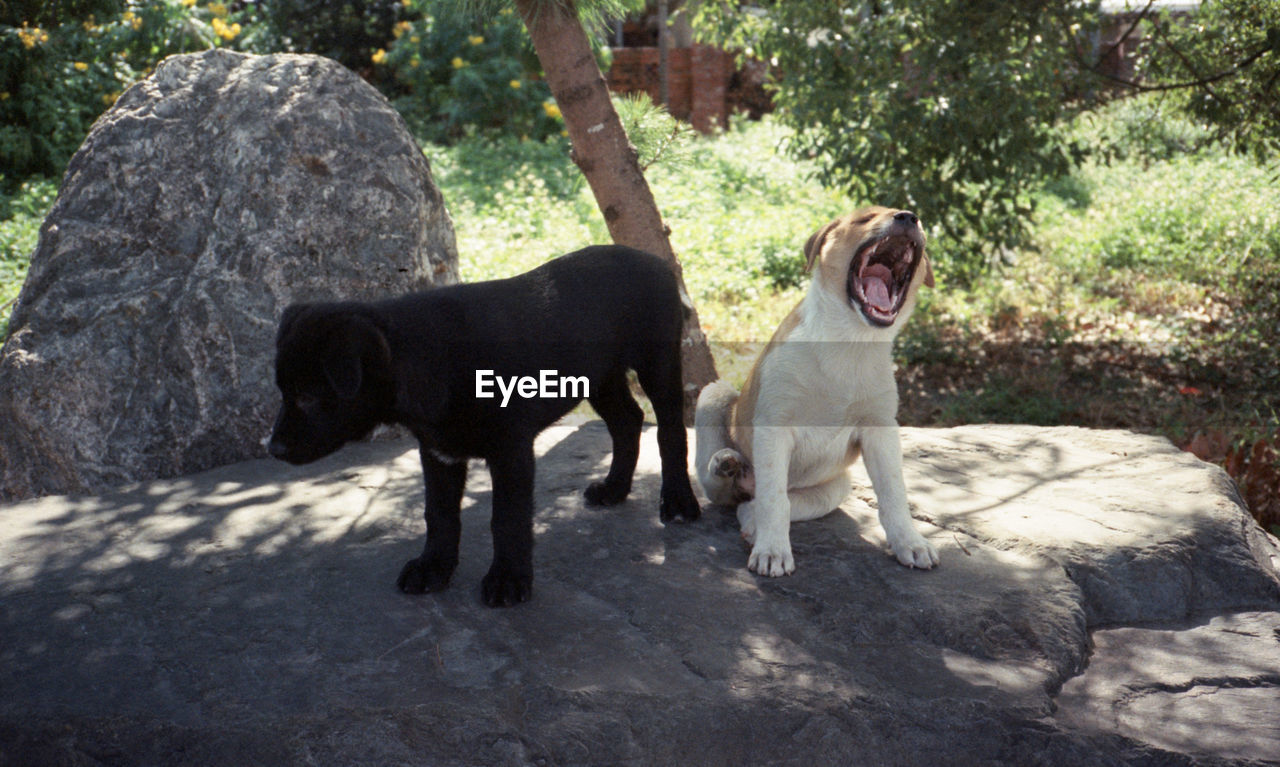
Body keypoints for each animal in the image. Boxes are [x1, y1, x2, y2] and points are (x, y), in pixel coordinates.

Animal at [262, 245, 701, 606]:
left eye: (308, 396)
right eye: (283, 391)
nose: (273, 450)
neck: (425, 359)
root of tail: (657, 262)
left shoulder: (511, 451)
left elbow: (506, 518)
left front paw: (508, 579)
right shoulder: (438, 452)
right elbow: (439, 514)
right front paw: (433, 567)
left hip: (658, 362)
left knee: (670, 431)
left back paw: (678, 500)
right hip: (600, 376)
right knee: (628, 421)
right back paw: (614, 488)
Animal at [701, 203, 942, 576]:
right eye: (864, 219)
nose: (908, 217)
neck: (850, 342)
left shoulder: (880, 430)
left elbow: (894, 495)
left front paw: (910, 543)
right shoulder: (774, 425)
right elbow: (774, 500)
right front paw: (772, 552)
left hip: (838, 485)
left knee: (764, 502)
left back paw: (751, 520)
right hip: (713, 393)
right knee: (724, 491)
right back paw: (724, 464)